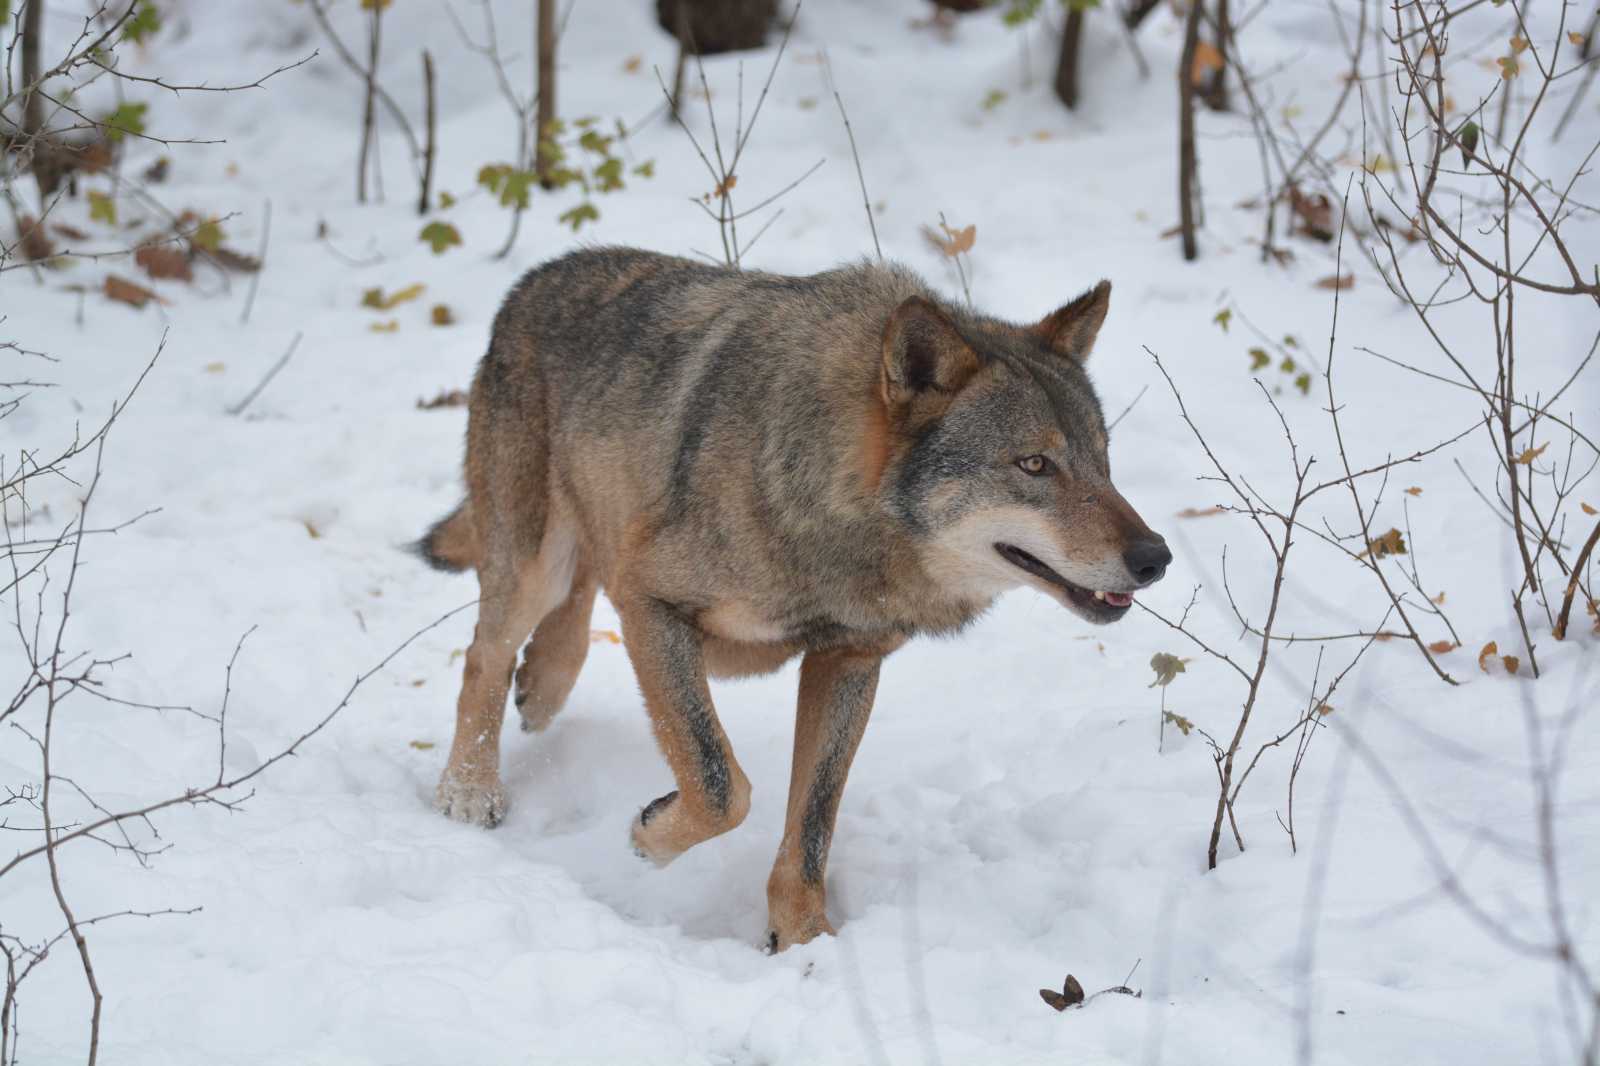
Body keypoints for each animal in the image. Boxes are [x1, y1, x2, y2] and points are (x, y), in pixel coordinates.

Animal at [412, 246, 1171, 947]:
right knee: (486, 653)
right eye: (1034, 465)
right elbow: (721, 785)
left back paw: (543, 686)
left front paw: (804, 942)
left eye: (1103, 462)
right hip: (533, 562)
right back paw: (469, 788)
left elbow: (811, 821)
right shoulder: (653, 604)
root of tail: (534, 280)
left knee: (570, 604)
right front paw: (650, 838)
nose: (1156, 557)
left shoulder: (848, 660)